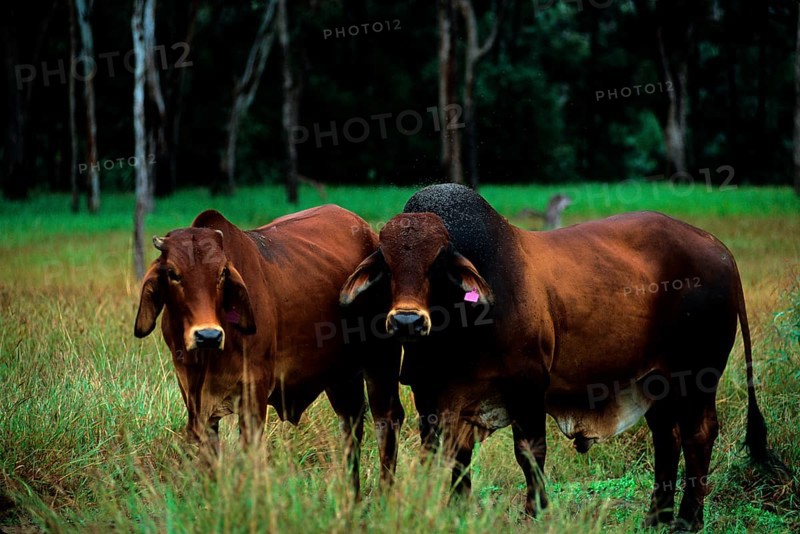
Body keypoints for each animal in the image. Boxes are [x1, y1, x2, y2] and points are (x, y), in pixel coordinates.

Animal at [134, 205, 404, 494]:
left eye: (221, 274)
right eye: (173, 273)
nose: (208, 335)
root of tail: (369, 234)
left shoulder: (255, 391)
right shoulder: (194, 399)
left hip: (381, 362)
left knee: (386, 420)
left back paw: (384, 495)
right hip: (341, 376)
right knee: (351, 423)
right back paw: (351, 496)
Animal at [339, 183, 783, 530]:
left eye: (438, 263)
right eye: (387, 264)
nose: (407, 321)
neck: (459, 325)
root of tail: (718, 248)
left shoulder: (528, 387)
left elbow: (529, 454)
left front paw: (535, 514)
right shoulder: (431, 398)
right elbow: (454, 460)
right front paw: (456, 513)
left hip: (698, 375)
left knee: (699, 434)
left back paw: (688, 520)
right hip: (655, 380)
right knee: (666, 436)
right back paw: (656, 516)